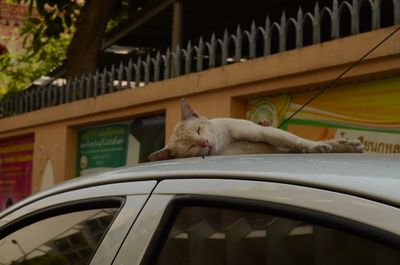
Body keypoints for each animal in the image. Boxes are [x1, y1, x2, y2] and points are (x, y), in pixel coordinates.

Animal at [148, 99, 364, 161]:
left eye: (199, 130)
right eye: (191, 147)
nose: (206, 143)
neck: (226, 144)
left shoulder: (263, 131)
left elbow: (295, 140)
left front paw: (315, 146)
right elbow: (295, 144)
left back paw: (346, 145)